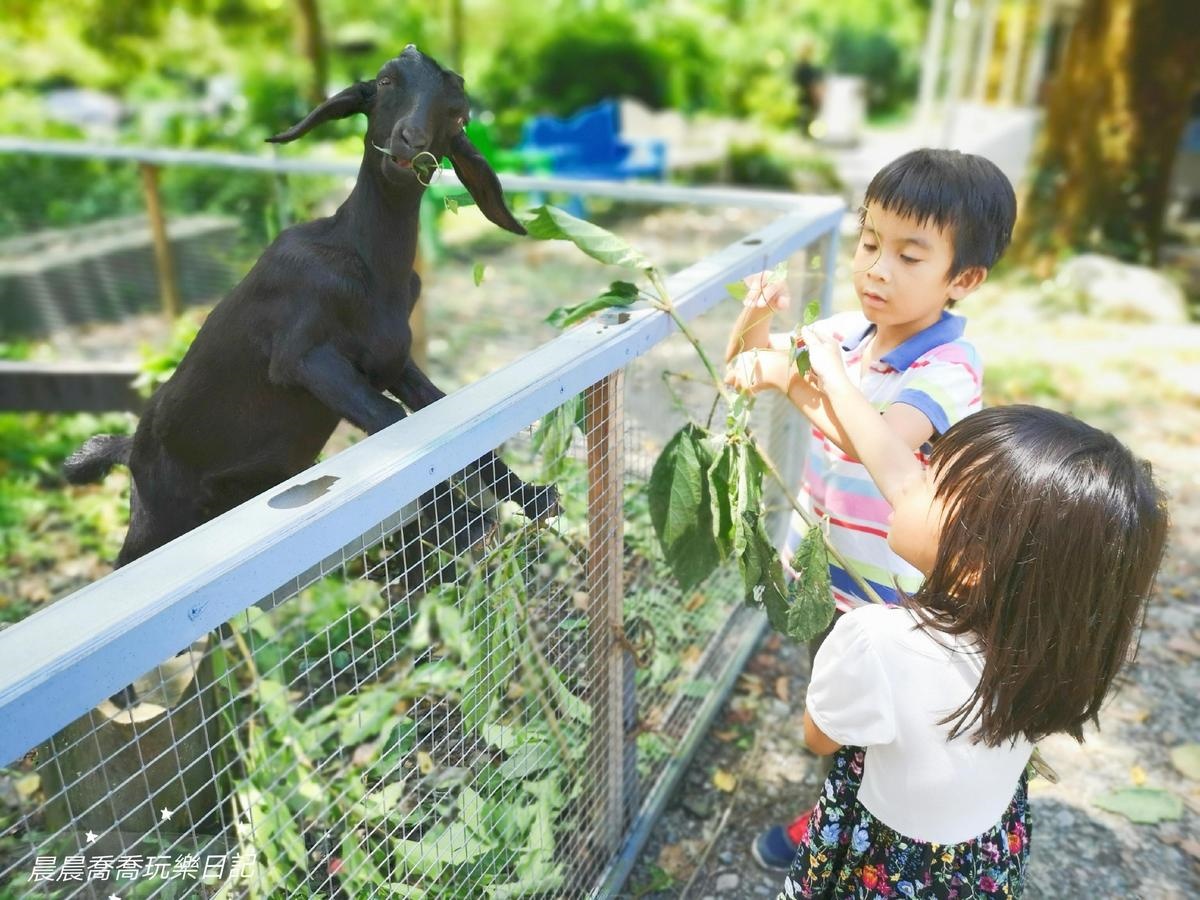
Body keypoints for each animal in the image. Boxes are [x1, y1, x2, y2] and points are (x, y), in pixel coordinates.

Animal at [70, 45, 561, 573]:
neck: (367, 264)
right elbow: (391, 419)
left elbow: (439, 410)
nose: (410, 140)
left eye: (457, 111)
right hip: (158, 517)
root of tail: (131, 448)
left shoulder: (392, 361)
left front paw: (531, 497)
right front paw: (465, 522)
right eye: (385, 81)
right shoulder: (302, 355)